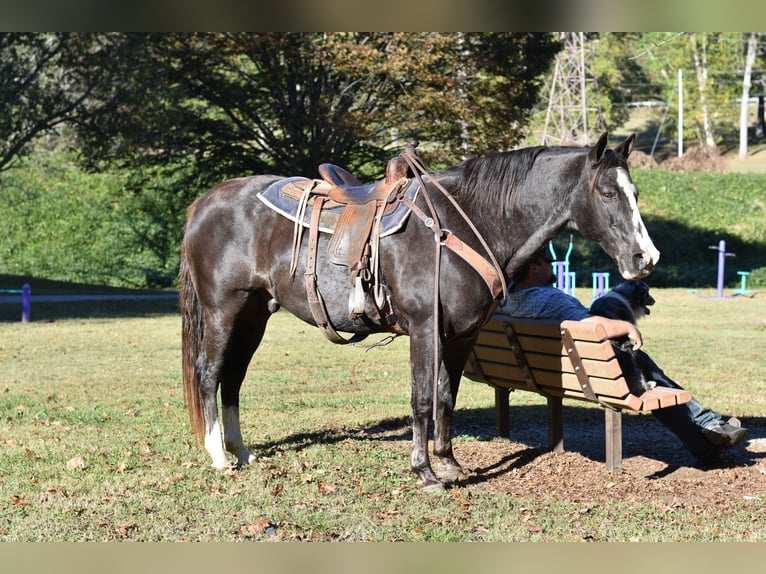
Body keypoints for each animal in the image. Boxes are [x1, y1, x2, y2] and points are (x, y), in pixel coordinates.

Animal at [179, 132, 659, 491]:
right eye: (608, 192)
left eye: (636, 192)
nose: (646, 258)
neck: (466, 224)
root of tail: (206, 202)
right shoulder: (426, 329)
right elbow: (421, 401)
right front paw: (425, 473)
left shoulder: (461, 335)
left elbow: (446, 396)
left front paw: (448, 463)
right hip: (224, 310)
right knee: (209, 373)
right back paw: (218, 454)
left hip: (254, 314)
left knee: (234, 377)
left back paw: (242, 450)